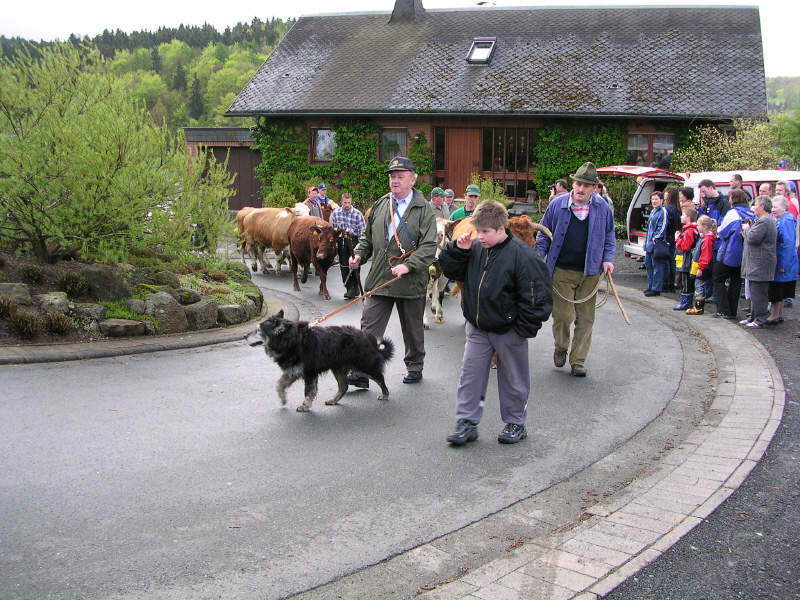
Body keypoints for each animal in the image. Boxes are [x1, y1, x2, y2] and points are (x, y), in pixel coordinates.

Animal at [246, 309, 395, 412]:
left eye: (258, 330)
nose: (245, 335)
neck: (292, 341)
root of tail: (369, 338)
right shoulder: (292, 371)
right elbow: (279, 385)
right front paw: (283, 400)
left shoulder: (310, 372)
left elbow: (308, 392)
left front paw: (305, 406)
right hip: (338, 368)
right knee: (344, 387)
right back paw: (334, 400)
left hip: (364, 365)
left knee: (380, 378)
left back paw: (385, 394)